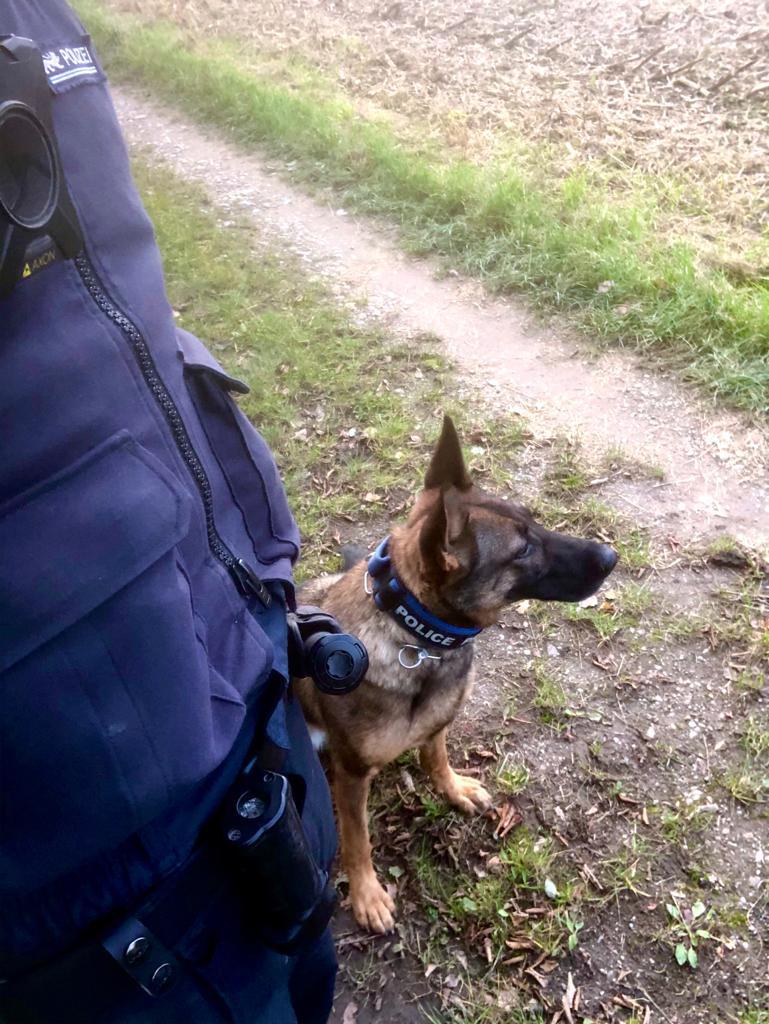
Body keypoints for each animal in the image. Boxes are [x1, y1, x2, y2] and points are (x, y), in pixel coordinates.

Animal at [296, 415, 617, 933]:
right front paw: (366, 893)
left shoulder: (437, 726)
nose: (611, 557)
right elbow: (357, 838)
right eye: (522, 550)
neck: (416, 637)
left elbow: (436, 756)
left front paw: (453, 788)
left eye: (534, 521)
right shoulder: (352, 773)